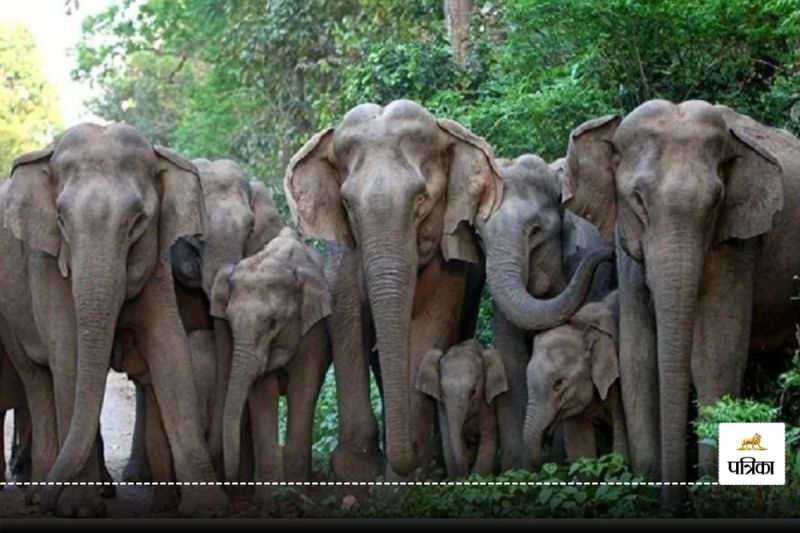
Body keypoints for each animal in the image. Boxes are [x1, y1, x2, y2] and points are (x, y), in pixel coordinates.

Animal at [0, 123, 228, 516]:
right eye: (60, 219)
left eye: (138, 221)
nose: (51, 500)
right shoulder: (45, 264)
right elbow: (69, 356)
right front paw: (78, 508)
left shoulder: (157, 267)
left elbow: (171, 352)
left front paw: (210, 507)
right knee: (37, 379)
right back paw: (38, 492)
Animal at [213, 228, 332, 503]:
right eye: (230, 322)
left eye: (272, 323)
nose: (231, 483)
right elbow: (262, 393)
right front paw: (270, 498)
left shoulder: (314, 329)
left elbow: (303, 387)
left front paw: (295, 494)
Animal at [414, 339, 508, 478]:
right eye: (442, 391)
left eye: (473, 391)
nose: (465, 475)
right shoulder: (442, 407)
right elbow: (448, 440)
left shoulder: (489, 404)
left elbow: (489, 437)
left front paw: (476, 476)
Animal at [474, 154, 615, 470]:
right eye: (479, 237)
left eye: (536, 230)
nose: (611, 255)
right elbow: (511, 358)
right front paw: (518, 470)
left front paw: (560, 463)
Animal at [560, 99, 800, 505]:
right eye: (638, 199)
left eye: (716, 201)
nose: (675, 502)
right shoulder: (627, 245)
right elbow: (638, 356)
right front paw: (644, 491)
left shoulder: (738, 242)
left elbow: (715, 355)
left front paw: (711, 499)